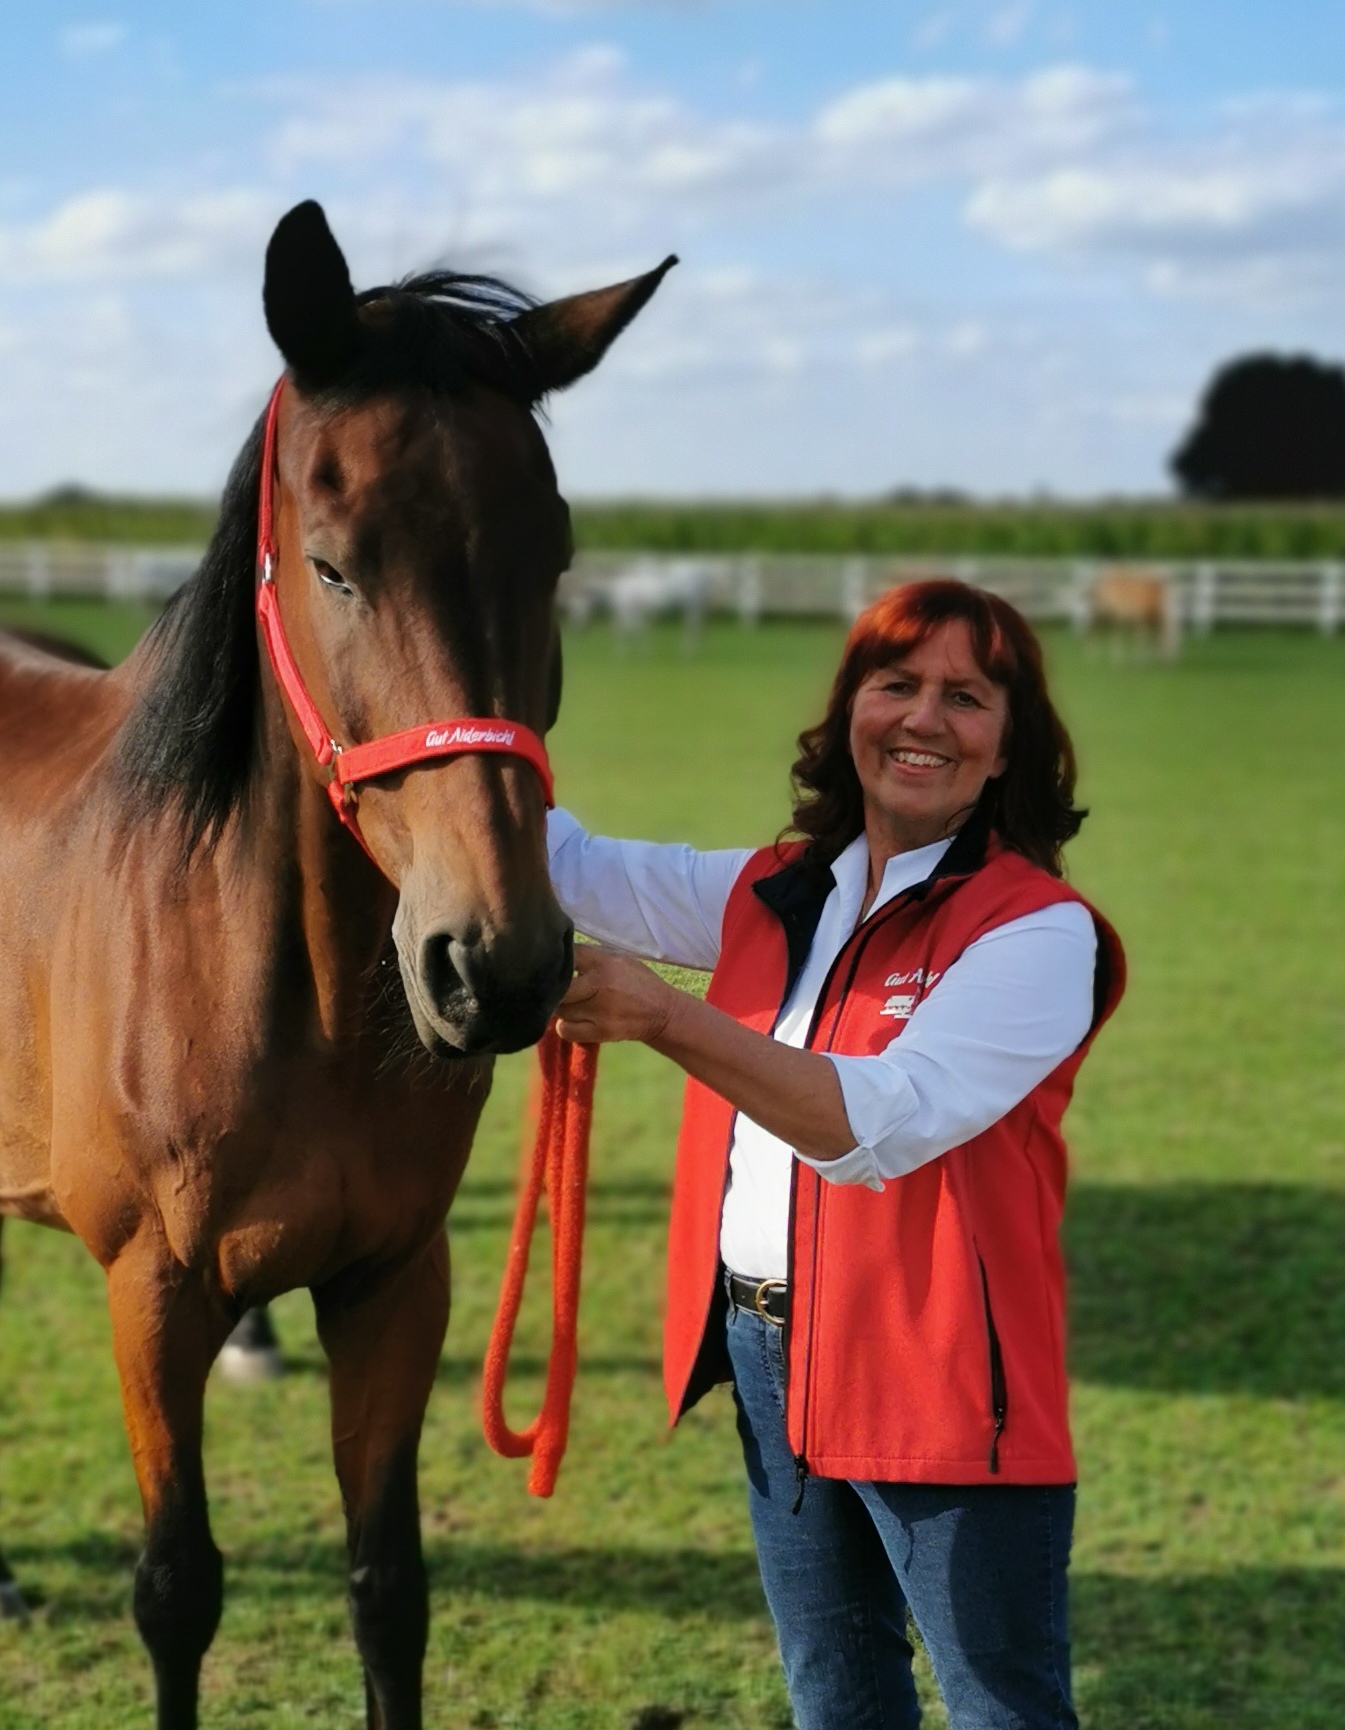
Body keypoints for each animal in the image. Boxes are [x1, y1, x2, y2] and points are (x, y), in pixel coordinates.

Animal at [0, 196, 671, 1723]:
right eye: (330, 560)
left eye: (555, 557)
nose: (494, 963)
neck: (270, 988)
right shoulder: (153, 1293)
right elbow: (175, 1590)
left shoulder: (391, 1282)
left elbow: (387, 1590)